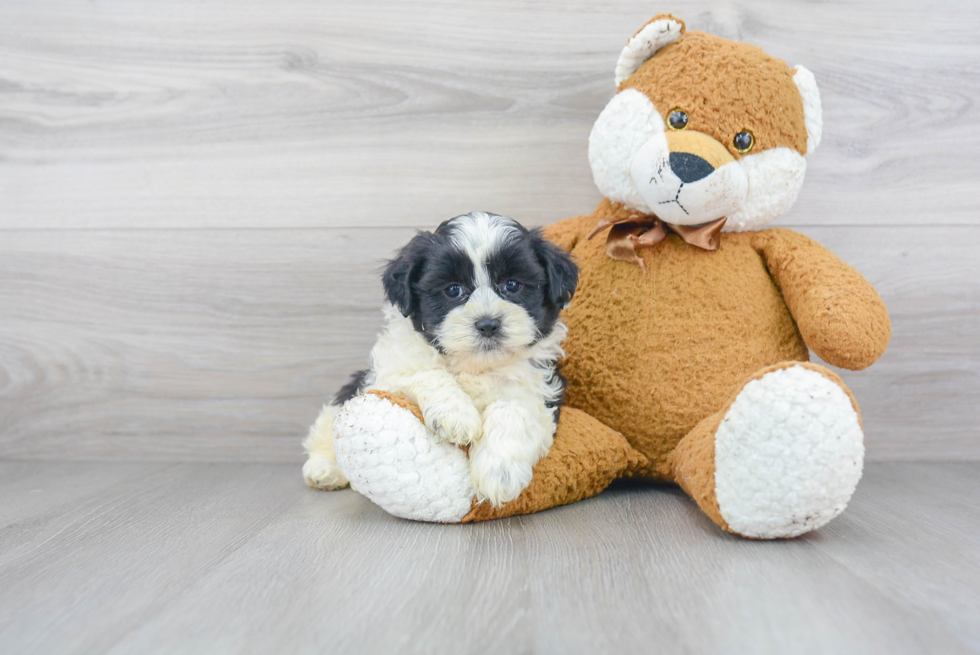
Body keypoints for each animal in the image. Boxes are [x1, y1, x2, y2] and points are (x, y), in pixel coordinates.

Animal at [302, 213, 580, 510]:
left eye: (512, 285)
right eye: (453, 289)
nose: (488, 324)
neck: (475, 366)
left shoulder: (540, 389)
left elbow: (512, 409)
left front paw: (498, 473)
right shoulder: (388, 373)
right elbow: (427, 373)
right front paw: (456, 416)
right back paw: (324, 470)